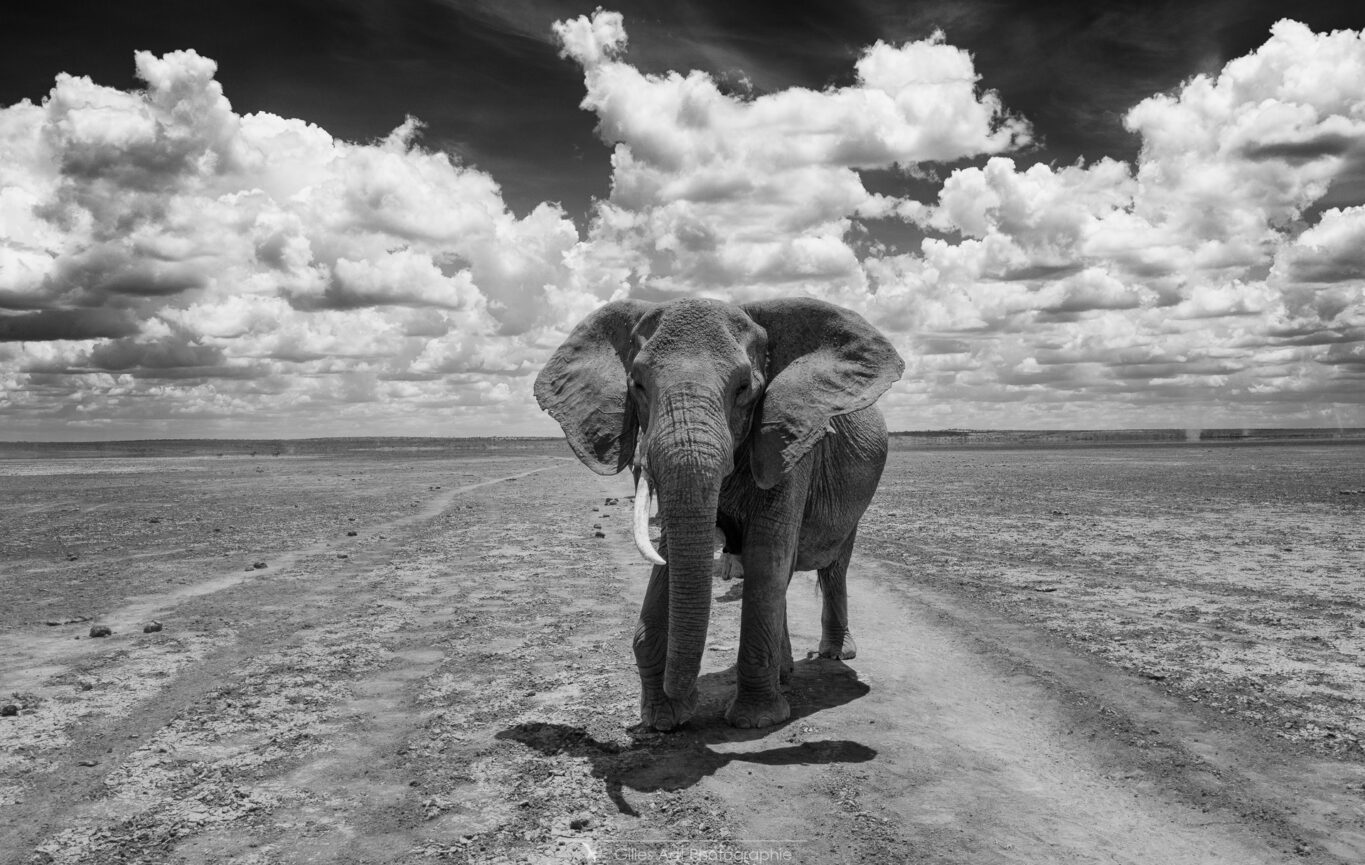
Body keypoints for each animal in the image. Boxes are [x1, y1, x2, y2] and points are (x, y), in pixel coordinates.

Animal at [535, 294, 906, 725]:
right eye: (637, 385)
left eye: (744, 388)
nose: (688, 699)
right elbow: (674, 553)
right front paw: (662, 719)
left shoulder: (790, 442)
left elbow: (766, 555)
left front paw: (755, 720)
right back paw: (785, 673)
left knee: (832, 567)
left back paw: (834, 655)